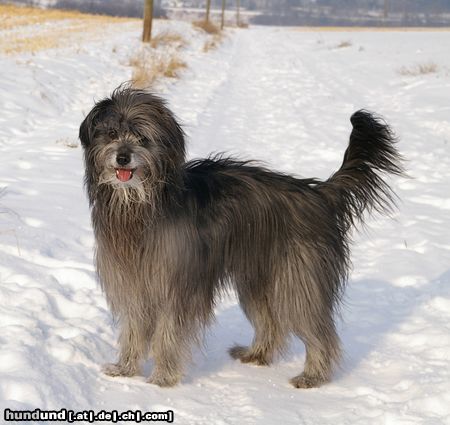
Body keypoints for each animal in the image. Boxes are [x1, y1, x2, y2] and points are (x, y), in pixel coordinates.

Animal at [79, 85, 402, 388]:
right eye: (111, 133)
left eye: (143, 138)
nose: (123, 157)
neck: (140, 207)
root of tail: (318, 193)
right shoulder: (131, 280)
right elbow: (133, 328)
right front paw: (125, 368)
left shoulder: (177, 283)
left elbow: (168, 332)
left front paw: (163, 377)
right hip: (256, 278)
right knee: (270, 323)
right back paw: (256, 354)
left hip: (297, 279)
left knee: (318, 330)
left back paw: (312, 376)